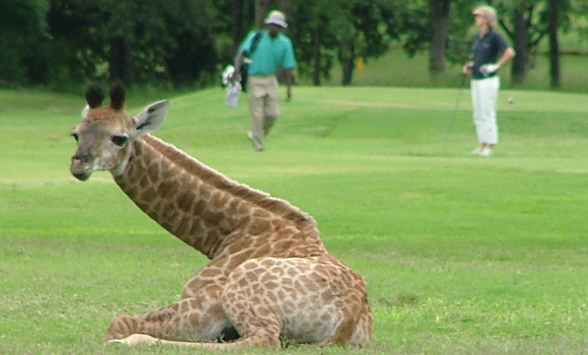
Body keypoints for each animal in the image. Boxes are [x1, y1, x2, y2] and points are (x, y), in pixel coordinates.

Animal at [69, 82, 372, 350]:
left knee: (262, 339)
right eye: (76, 133)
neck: (229, 232)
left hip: (241, 286)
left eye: (119, 138)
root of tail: (352, 309)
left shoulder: (207, 305)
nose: (79, 164)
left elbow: (116, 323)